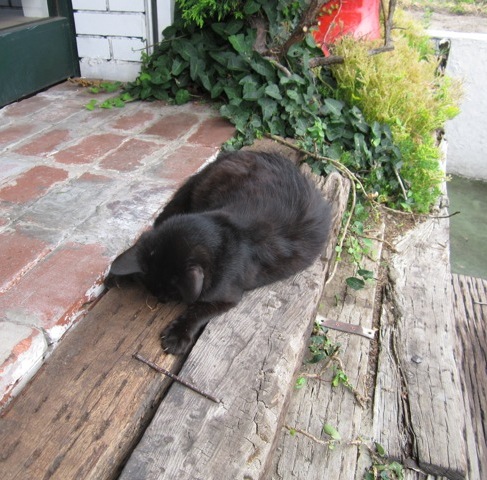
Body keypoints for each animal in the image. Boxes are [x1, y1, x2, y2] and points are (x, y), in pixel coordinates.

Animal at [107, 152, 332, 354]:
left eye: (171, 294)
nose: (160, 299)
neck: (224, 229)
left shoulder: (227, 297)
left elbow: (198, 310)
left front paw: (177, 335)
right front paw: (120, 276)